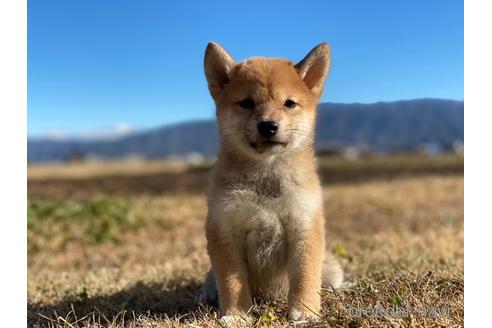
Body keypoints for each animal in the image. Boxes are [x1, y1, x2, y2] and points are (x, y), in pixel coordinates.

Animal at [200, 41, 342, 322]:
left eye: (289, 103)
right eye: (246, 103)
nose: (268, 126)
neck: (265, 176)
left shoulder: (304, 226)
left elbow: (305, 277)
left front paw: (305, 311)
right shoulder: (224, 230)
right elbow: (232, 282)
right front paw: (236, 315)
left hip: (331, 268)